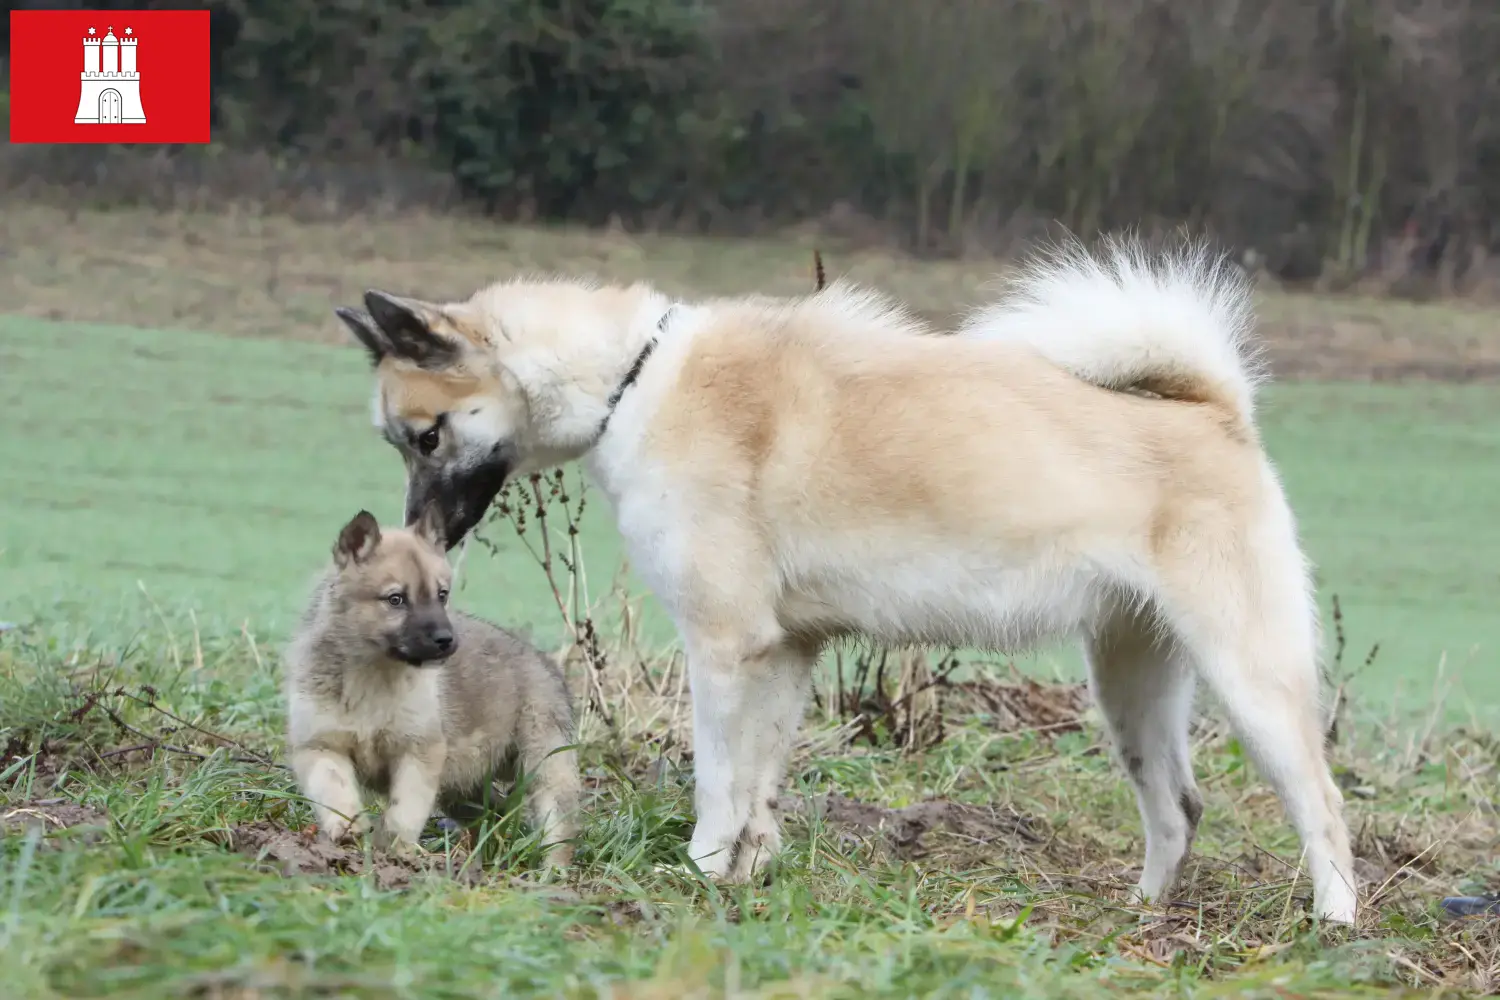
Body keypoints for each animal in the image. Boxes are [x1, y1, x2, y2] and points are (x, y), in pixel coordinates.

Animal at [337, 236, 1362, 923]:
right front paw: (749, 875)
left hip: (1249, 679)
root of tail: (1217, 412)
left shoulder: (724, 651)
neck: (634, 378)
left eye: (426, 436)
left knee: (1322, 806)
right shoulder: (785, 655)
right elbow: (759, 786)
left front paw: (702, 871)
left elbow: (717, 782)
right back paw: (1142, 914)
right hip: (1131, 688)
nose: (422, 536)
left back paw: (1333, 924)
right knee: (1177, 810)